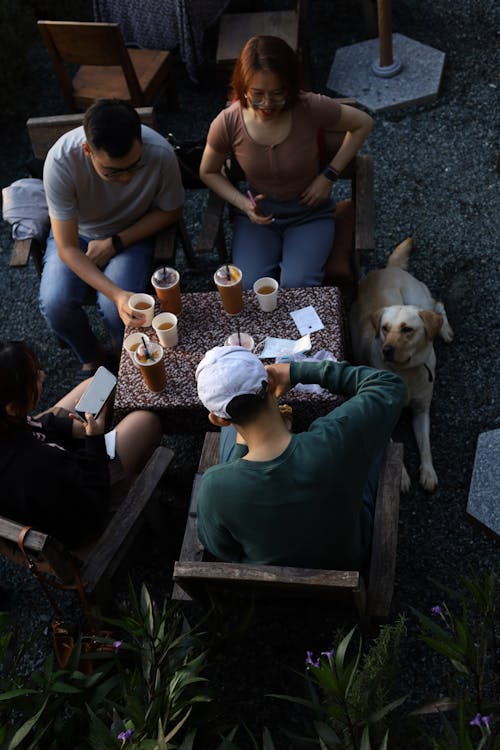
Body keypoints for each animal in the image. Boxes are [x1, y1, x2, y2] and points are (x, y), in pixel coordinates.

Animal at [352, 236, 454, 494]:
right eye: (384, 328)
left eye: (407, 329)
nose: (387, 350)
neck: (405, 372)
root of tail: (389, 268)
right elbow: (390, 447)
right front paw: (401, 477)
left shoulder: (422, 410)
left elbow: (426, 445)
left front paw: (428, 472)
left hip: (418, 299)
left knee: (438, 305)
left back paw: (445, 330)